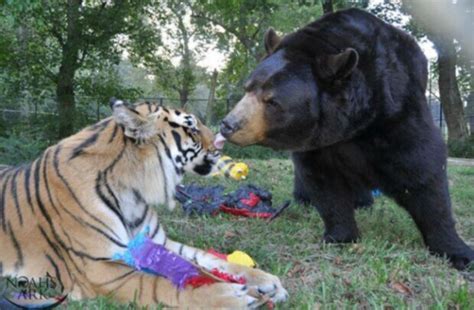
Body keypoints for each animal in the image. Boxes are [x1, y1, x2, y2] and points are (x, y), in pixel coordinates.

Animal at [0, 98, 286, 308]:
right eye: (191, 128)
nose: (220, 142)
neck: (135, 192)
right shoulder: (96, 266)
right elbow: (157, 283)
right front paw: (230, 297)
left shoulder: (159, 242)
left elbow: (204, 259)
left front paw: (267, 282)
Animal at [219, 7, 474, 268]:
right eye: (248, 88)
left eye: (272, 101)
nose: (228, 124)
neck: (352, 123)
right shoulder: (317, 142)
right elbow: (324, 182)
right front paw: (340, 235)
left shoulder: (396, 109)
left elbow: (422, 170)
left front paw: (457, 250)